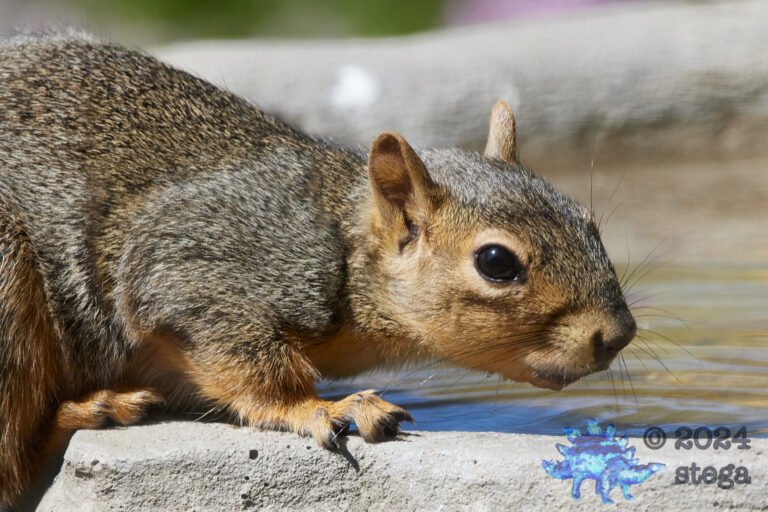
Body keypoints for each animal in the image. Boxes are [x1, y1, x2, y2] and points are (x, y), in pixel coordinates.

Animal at [0, 31, 636, 508]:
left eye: (589, 222)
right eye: (496, 262)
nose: (618, 334)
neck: (342, 246)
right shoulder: (191, 264)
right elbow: (246, 359)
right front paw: (323, 408)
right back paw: (96, 408)